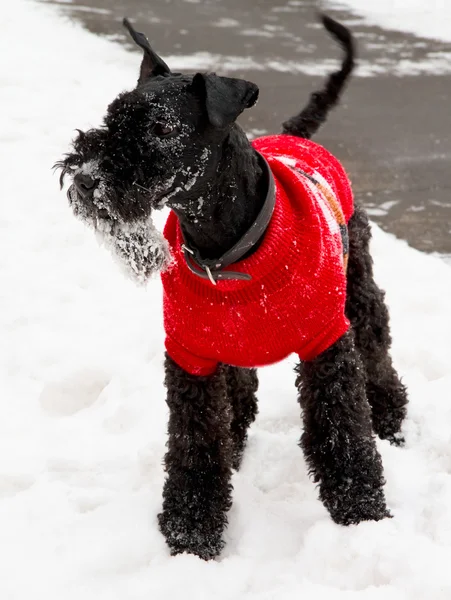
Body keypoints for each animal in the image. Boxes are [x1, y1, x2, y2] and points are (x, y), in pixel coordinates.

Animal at [57, 14, 410, 560]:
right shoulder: (192, 356)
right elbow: (196, 443)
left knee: (377, 352)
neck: (227, 253)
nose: (87, 178)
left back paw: (389, 417)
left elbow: (343, 432)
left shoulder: (326, 343)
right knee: (239, 393)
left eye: (162, 128)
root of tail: (296, 136)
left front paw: (362, 518)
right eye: (112, 118)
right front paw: (190, 534)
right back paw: (238, 443)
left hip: (360, 293)